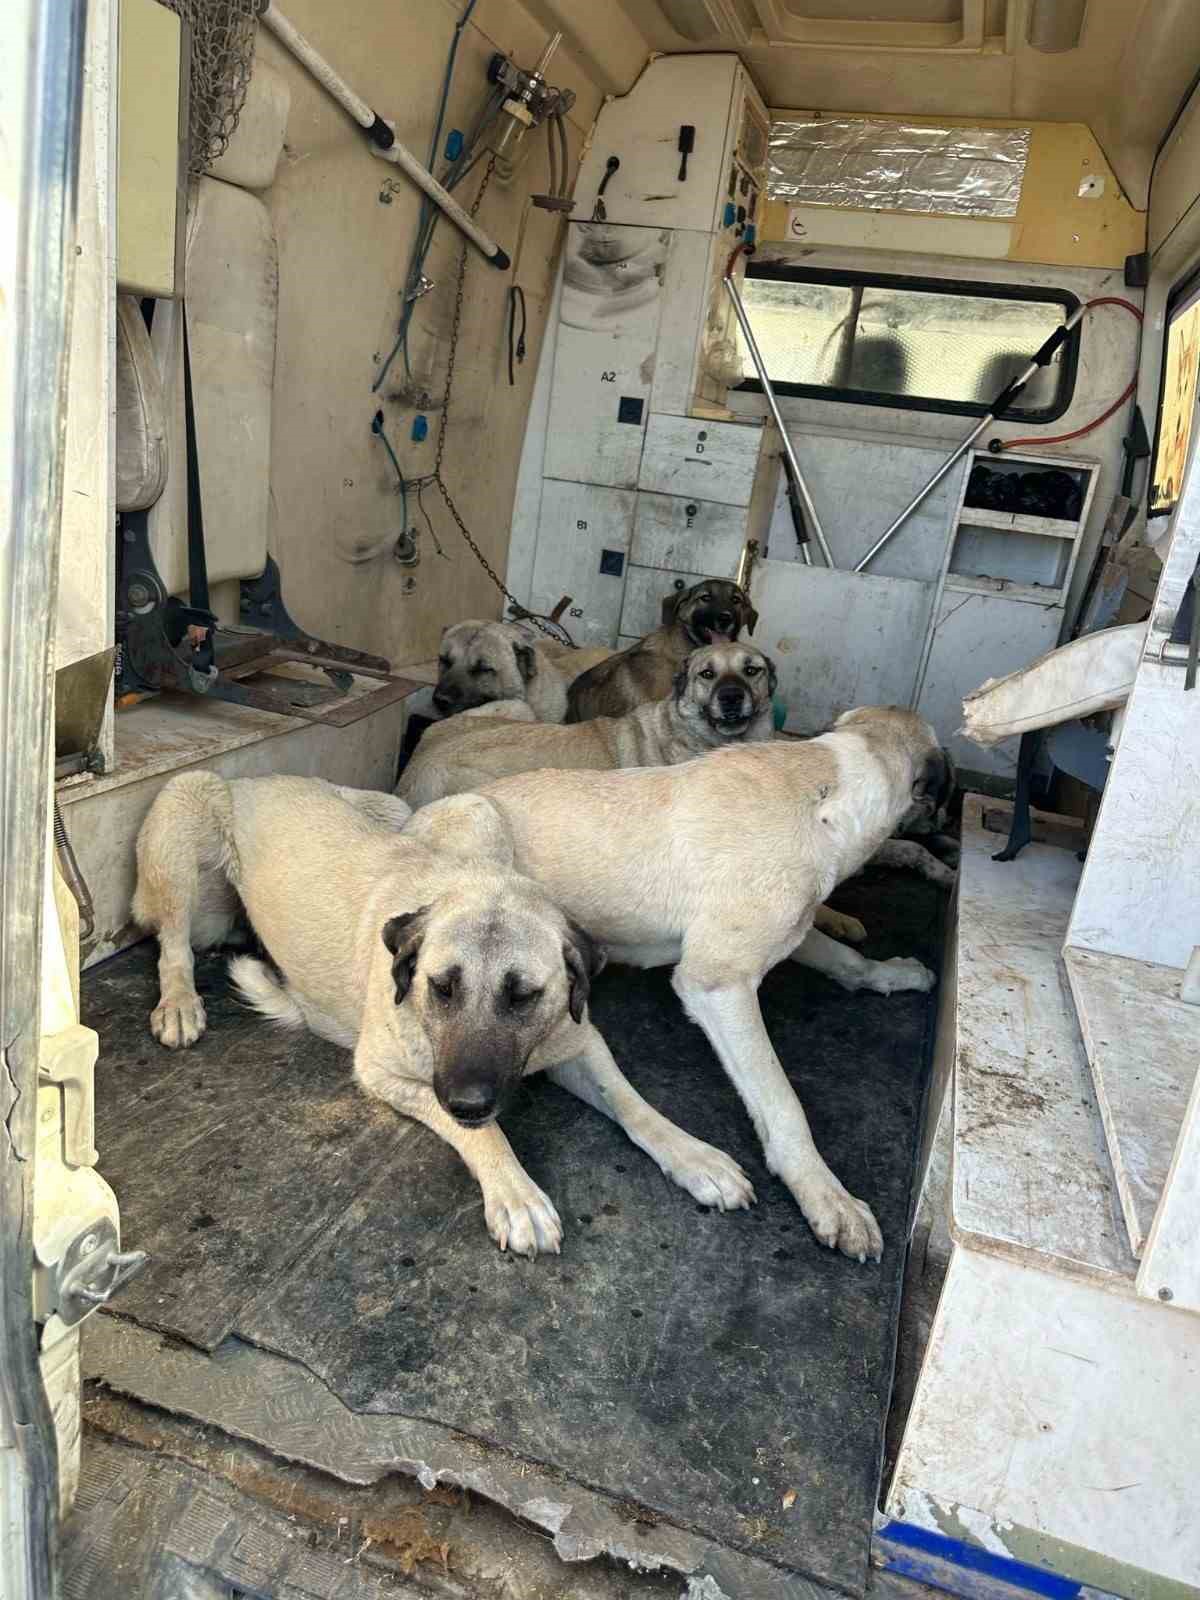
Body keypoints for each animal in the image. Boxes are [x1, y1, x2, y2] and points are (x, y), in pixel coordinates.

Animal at [131, 771, 752, 1248]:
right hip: (186, 813)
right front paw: (516, 1192)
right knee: (173, 940)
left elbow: (631, 1102)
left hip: (414, 808)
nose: (468, 1100)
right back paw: (180, 1004)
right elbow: (484, 1134)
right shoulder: (384, 1073)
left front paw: (694, 1156)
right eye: (442, 987)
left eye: (523, 995)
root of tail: (252, 779)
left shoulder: (576, 1041)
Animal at [473, 707, 953, 1267]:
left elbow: (848, 961)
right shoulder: (717, 984)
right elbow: (782, 1101)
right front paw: (825, 1193)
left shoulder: (789, 932)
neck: (827, 791)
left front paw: (894, 974)